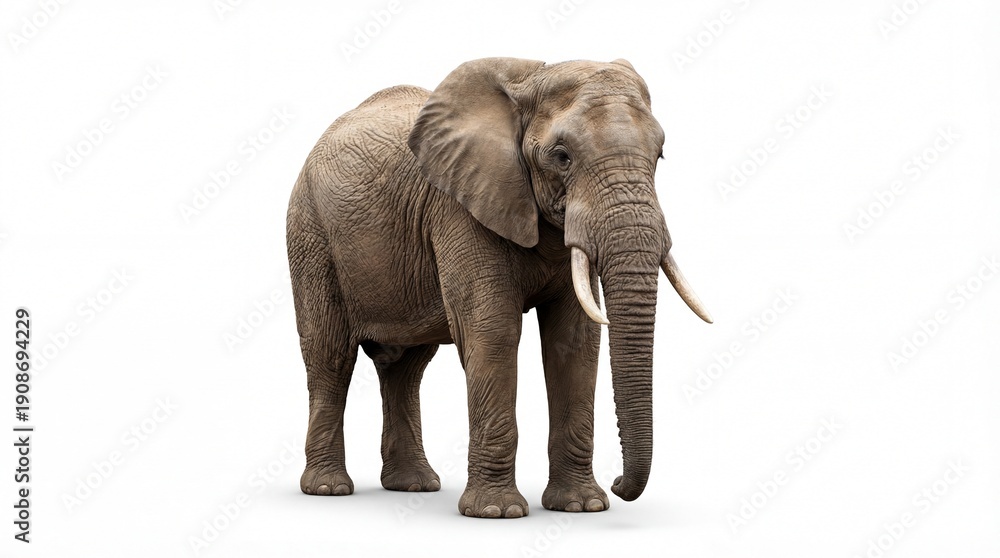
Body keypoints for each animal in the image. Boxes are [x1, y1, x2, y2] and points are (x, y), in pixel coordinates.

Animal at [286, 57, 711, 519]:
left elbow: (576, 340)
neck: (531, 78)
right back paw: (328, 489)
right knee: (330, 355)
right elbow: (493, 331)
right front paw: (496, 513)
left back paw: (414, 486)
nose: (619, 485)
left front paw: (582, 507)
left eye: (660, 154)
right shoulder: (459, 206)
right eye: (562, 157)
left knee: (406, 367)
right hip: (310, 234)